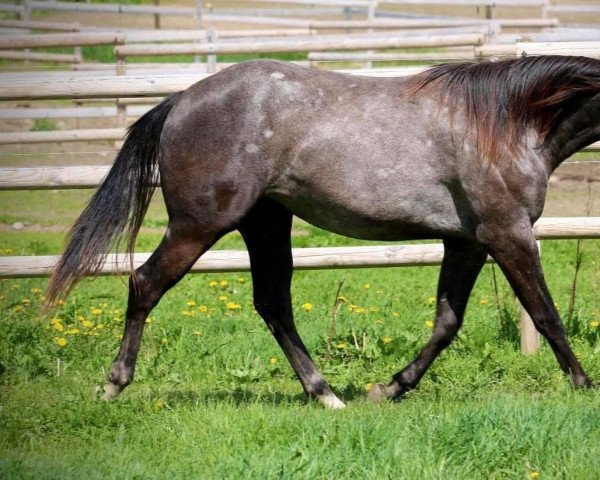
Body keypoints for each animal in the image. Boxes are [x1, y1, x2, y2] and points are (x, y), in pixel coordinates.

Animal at [48, 56, 600, 408]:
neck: (511, 123)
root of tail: (181, 101)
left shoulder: (465, 241)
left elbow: (447, 323)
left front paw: (390, 388)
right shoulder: (508, 233)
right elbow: (546, 315)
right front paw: (583, 385)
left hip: (265, 224)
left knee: (273, 305)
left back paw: (327, 394)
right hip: (198, 226)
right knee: (145, 284)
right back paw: (113, 385)